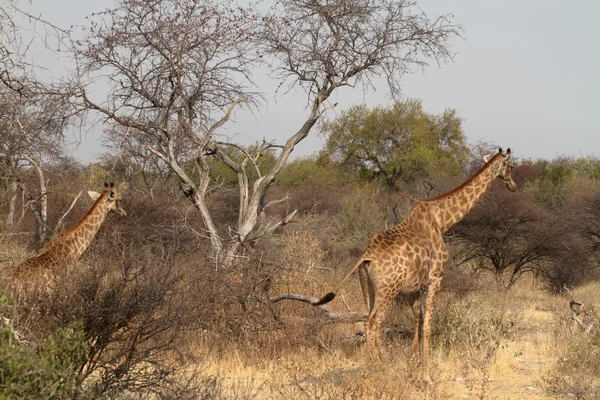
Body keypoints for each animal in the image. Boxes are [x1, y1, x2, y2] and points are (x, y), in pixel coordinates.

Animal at [316, 148, 516, 382]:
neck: (442, 221)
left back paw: (383, 369)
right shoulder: (435, 278)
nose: (513, 185)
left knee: (368, 321)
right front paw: (426, 375)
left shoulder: (412, 288)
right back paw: (372, 373)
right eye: (511, 166)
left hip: (369, 287)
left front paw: (408, 361)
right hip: (388, 290)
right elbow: (427, 325)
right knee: (373, 323)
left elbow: (418, 322)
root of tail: (367, 255)